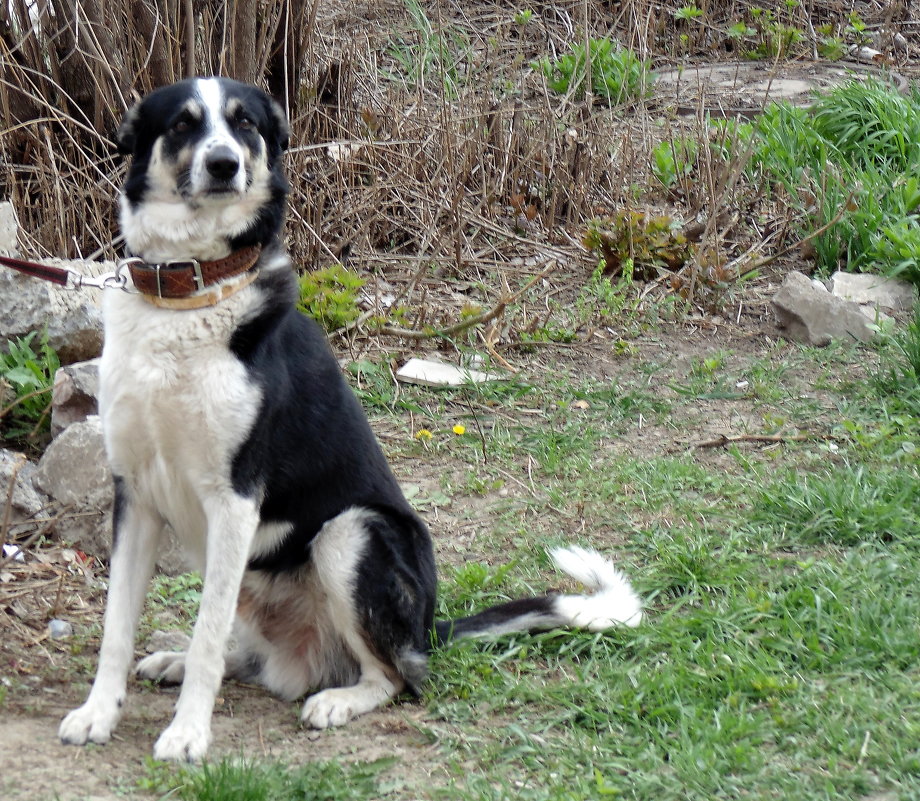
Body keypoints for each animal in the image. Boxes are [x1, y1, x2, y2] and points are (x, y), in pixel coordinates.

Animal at [57, 79, 640, 764]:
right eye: (182, 124)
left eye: (245, 124)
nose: (224, 164)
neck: (189, 296)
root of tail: (427, 628)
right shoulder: (135, 494)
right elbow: (117, 629)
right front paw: (99, 713)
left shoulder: (234, 498)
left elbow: (207, 634)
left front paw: (188, 733)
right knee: (247, 654)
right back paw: (182, 662)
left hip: (351, 532)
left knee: (399, 677)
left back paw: (339, 699)